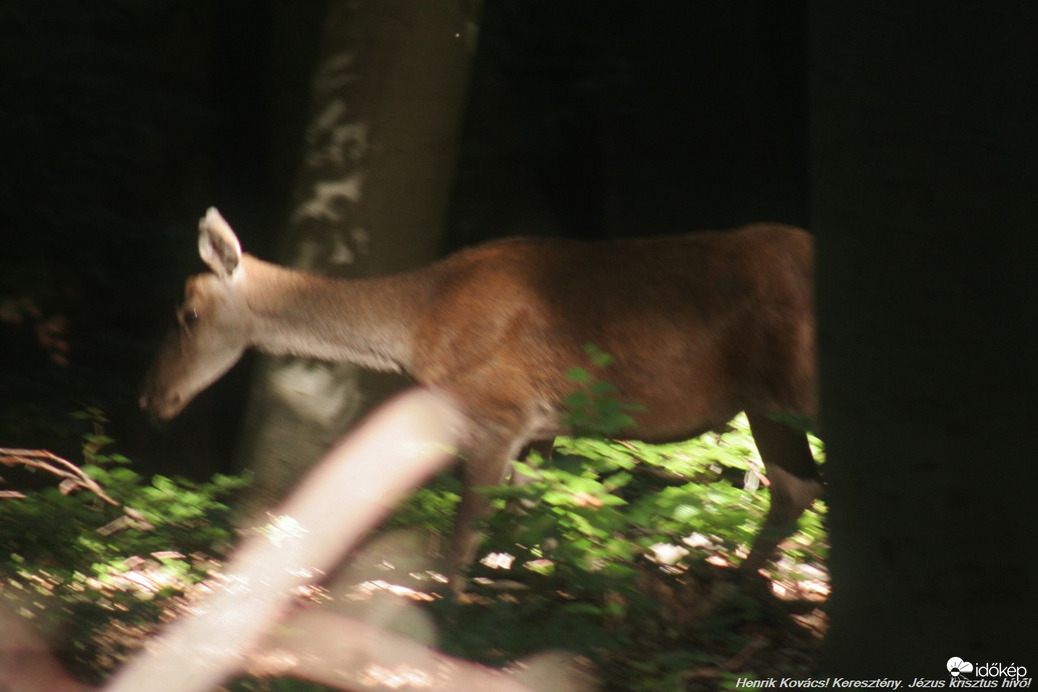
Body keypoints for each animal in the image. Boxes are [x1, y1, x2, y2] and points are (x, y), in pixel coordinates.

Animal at [138, 208, 822, 593]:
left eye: (188, 314)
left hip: (796, 386)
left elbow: (466, 533)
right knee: (795, 487)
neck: (418, 328)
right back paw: (733, 590)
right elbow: (544, 509)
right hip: (766, 404)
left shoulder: (499, 411)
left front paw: (454, 617)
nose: (151, 397)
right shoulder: (538, 426)